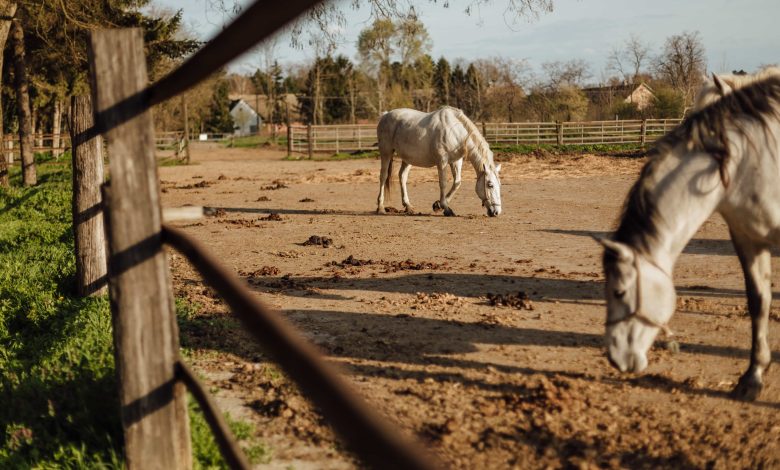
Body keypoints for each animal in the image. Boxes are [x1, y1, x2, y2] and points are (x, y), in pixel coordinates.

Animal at [596, 72, 780, 400]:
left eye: (618, 292)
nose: (615, 359)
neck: (752, 159)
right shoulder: (749, 238)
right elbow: (759, 302)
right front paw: (752, 378)